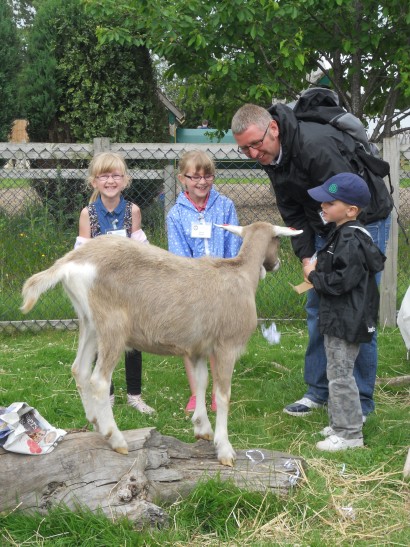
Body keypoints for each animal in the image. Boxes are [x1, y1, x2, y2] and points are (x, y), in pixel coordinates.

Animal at [20, 222, 302, 466]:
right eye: (278, 240)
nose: (276, 264)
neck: (241, 274)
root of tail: (70, 262)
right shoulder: (226, 346)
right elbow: (223, 395)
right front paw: (225, 449)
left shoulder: (198, 349)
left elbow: (201, 383)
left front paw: (202, 429)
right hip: (113, 326)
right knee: (99, 380)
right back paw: (116, 439)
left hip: (90, 323)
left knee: (79, 369)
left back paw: (96, 422)